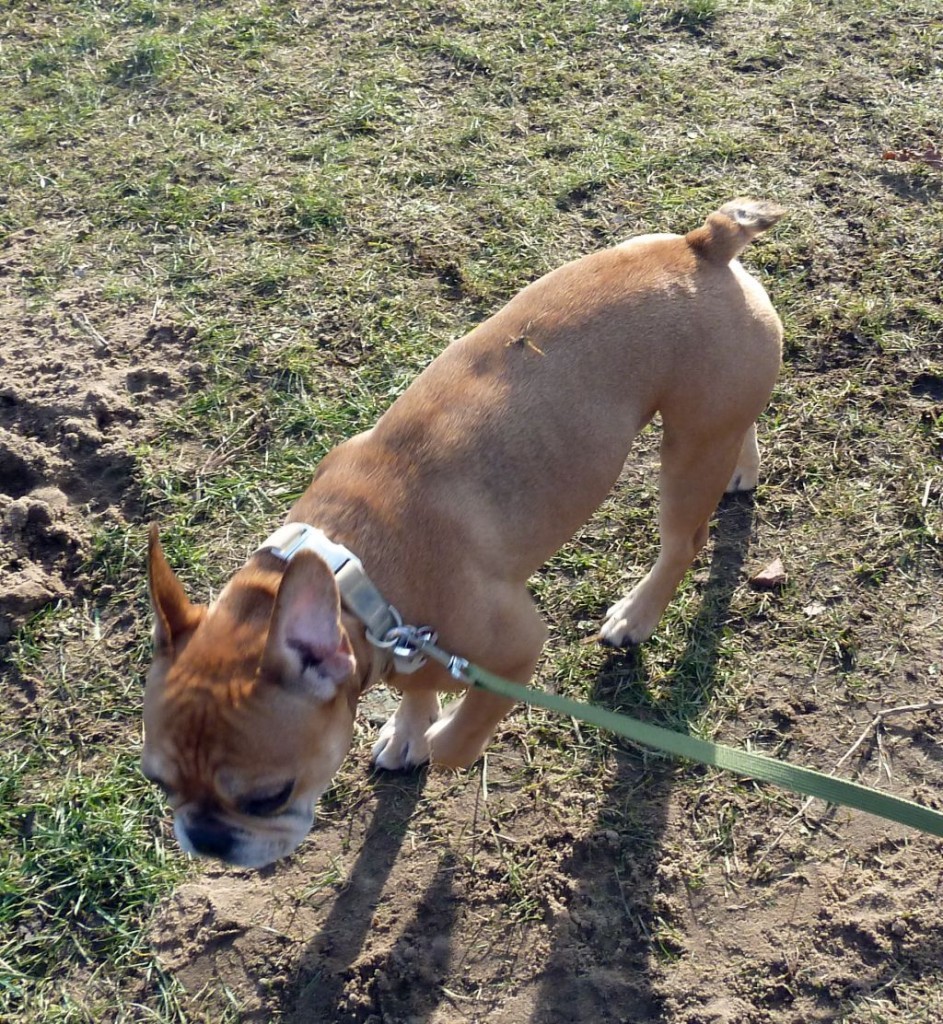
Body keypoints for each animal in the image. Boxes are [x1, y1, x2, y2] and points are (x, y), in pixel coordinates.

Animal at [142, 199, 784, 868]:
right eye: (158, 783)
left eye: (270, 795)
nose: (206, 839)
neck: (353, 570)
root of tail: (702, 244)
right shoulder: (408, 642)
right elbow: (414, 683)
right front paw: (408, 727)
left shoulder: (516, 647)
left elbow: (462, 735)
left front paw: (435, 737)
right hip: (715, 421)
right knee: (742, 426)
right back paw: (743, 468)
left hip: (686, 454)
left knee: (683, 543)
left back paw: (637, 614)